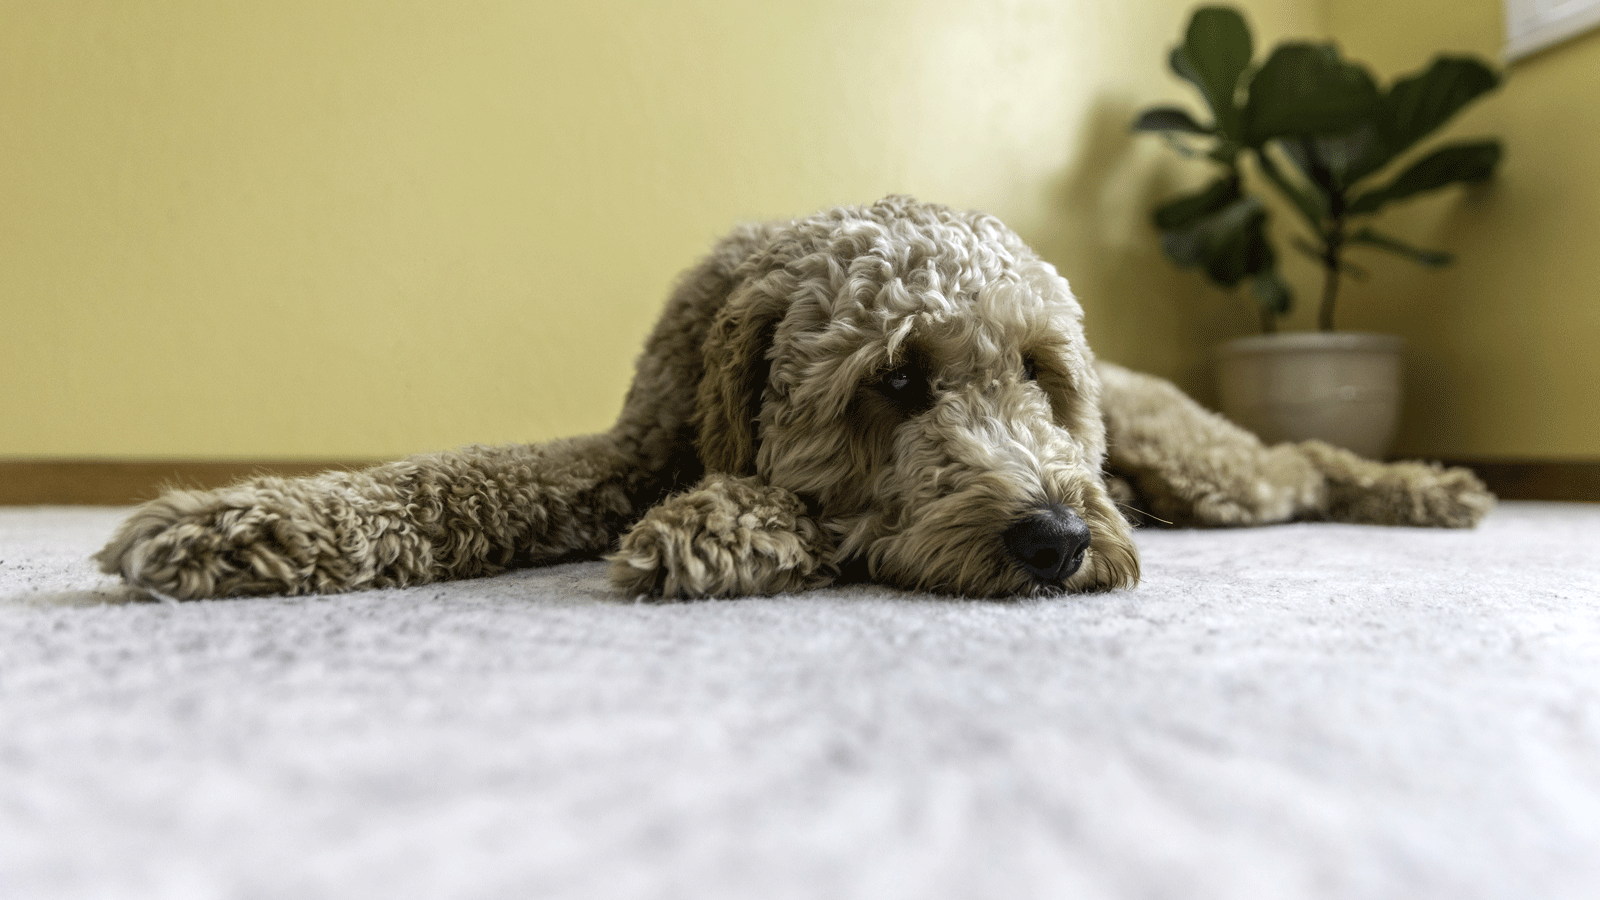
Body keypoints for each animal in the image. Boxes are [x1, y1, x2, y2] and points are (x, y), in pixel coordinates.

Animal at [93, 193, 1491, 598]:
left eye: (1034, 375)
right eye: (895, 379)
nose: (1054, 537)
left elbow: (785, 501)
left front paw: (719, 528)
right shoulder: (628, 447)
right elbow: (451, 478)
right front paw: (244, 523)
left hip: (1198, 468)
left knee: (1305, 461)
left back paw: (1423, 487)